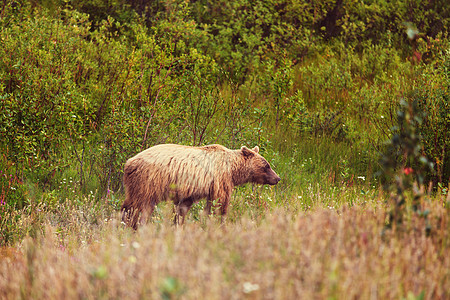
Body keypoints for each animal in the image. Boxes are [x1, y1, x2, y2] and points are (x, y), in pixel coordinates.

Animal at [121, 144, 280, 229]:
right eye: (267, 165)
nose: (277, 178)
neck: (233, 170)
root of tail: (129, 162)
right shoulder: (220, 178)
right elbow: (220, 203)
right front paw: (220, 223)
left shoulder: (196, 189)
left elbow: (184, 207)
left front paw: (179, 223)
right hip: (148, 181)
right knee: (139, 206)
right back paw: (133, 224)